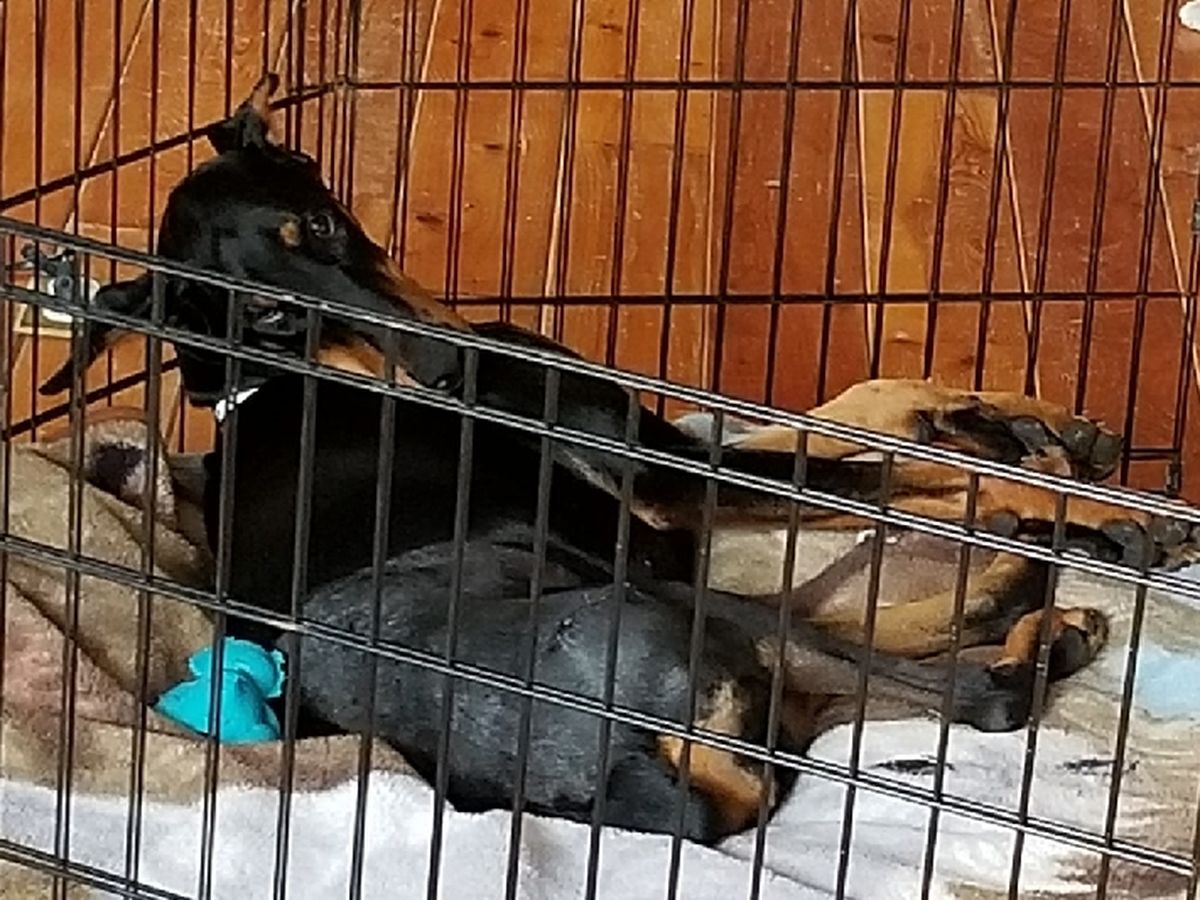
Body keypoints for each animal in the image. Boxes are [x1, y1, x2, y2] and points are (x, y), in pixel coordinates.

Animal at [35, 74, 1188, 842]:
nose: (455, 368)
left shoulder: (659, 459)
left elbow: (870, 407)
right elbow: (873, 468)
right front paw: (1092, 504)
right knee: (944, 680)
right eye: (265, 312)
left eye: (317, 223)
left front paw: (1040, 429)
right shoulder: (663, 478)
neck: (279, 378)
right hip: (674, 599)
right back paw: (1028, 586)